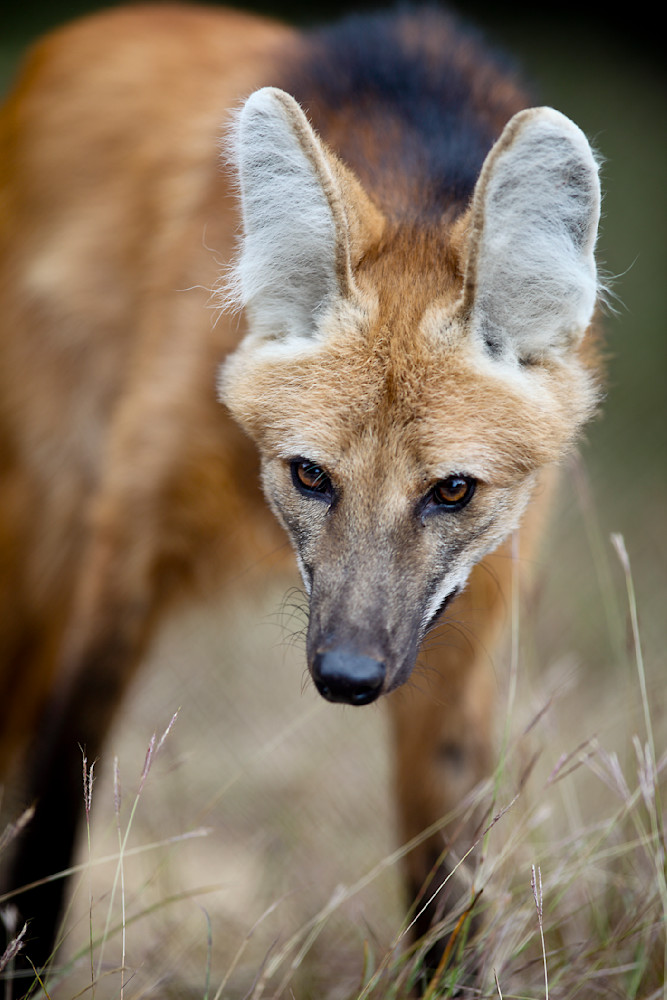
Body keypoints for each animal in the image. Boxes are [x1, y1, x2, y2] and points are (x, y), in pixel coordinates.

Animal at [0, 2, 601, 984]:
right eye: (309, 475)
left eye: (452, 491)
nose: (349, 677)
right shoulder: (122, 548)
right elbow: (53, 808)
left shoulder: (462, 624)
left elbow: (447, 897)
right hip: (42, 528)